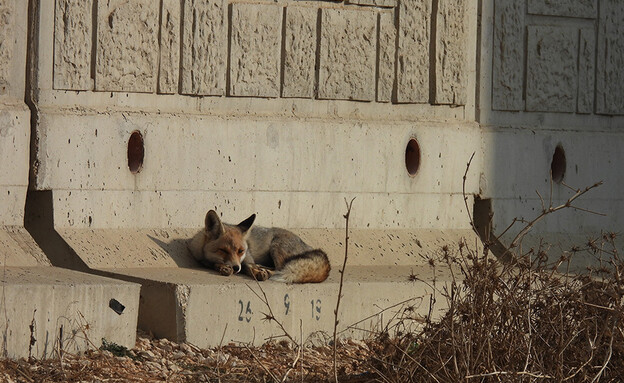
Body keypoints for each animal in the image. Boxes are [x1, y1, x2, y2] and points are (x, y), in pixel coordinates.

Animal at [186, 212, 330, 284]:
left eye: (241, 251)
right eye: (223, 250)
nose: (235, 268)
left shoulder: (248, 258)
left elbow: (249, 266)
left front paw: (256, 273)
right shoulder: (202, 259)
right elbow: (213, 264)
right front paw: (222, 267)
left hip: (276, 247)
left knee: (279, 268)